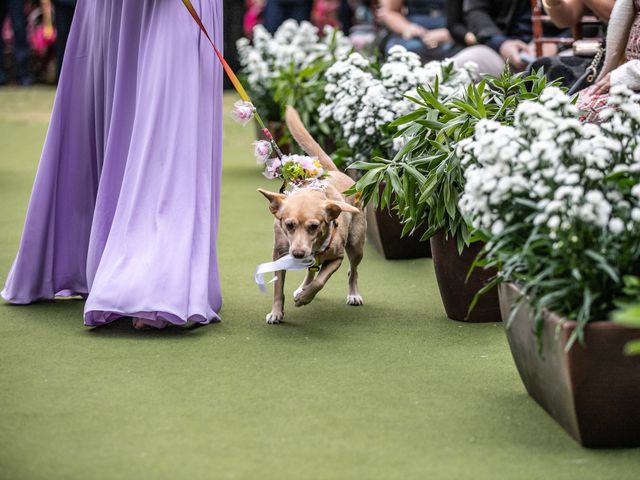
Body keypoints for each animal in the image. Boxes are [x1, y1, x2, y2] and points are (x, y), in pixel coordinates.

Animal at [256, 105, 364, 322]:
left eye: (314, 226)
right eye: (289, 225)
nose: (298, 253)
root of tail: (334, 171)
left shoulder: (337, 258)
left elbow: (320, 281)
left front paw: (305, 298)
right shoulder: (278, 254)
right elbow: (278, 288)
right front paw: (276, 312)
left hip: (356, 246)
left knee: (352, 272)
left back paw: (353, 294)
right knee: (311, 270)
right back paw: (302, 287)